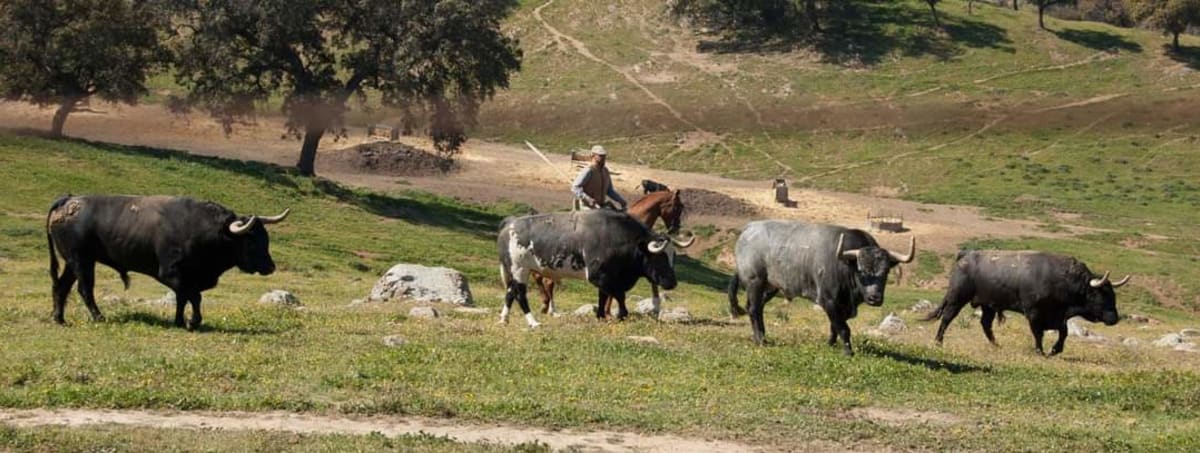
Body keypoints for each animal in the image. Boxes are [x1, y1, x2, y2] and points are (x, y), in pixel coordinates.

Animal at [533, 189, 688, 317]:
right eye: (677, 207)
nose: (675, 228)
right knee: (546, 281)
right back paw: (551, 308)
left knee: (542, 278)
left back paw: (546, 306)